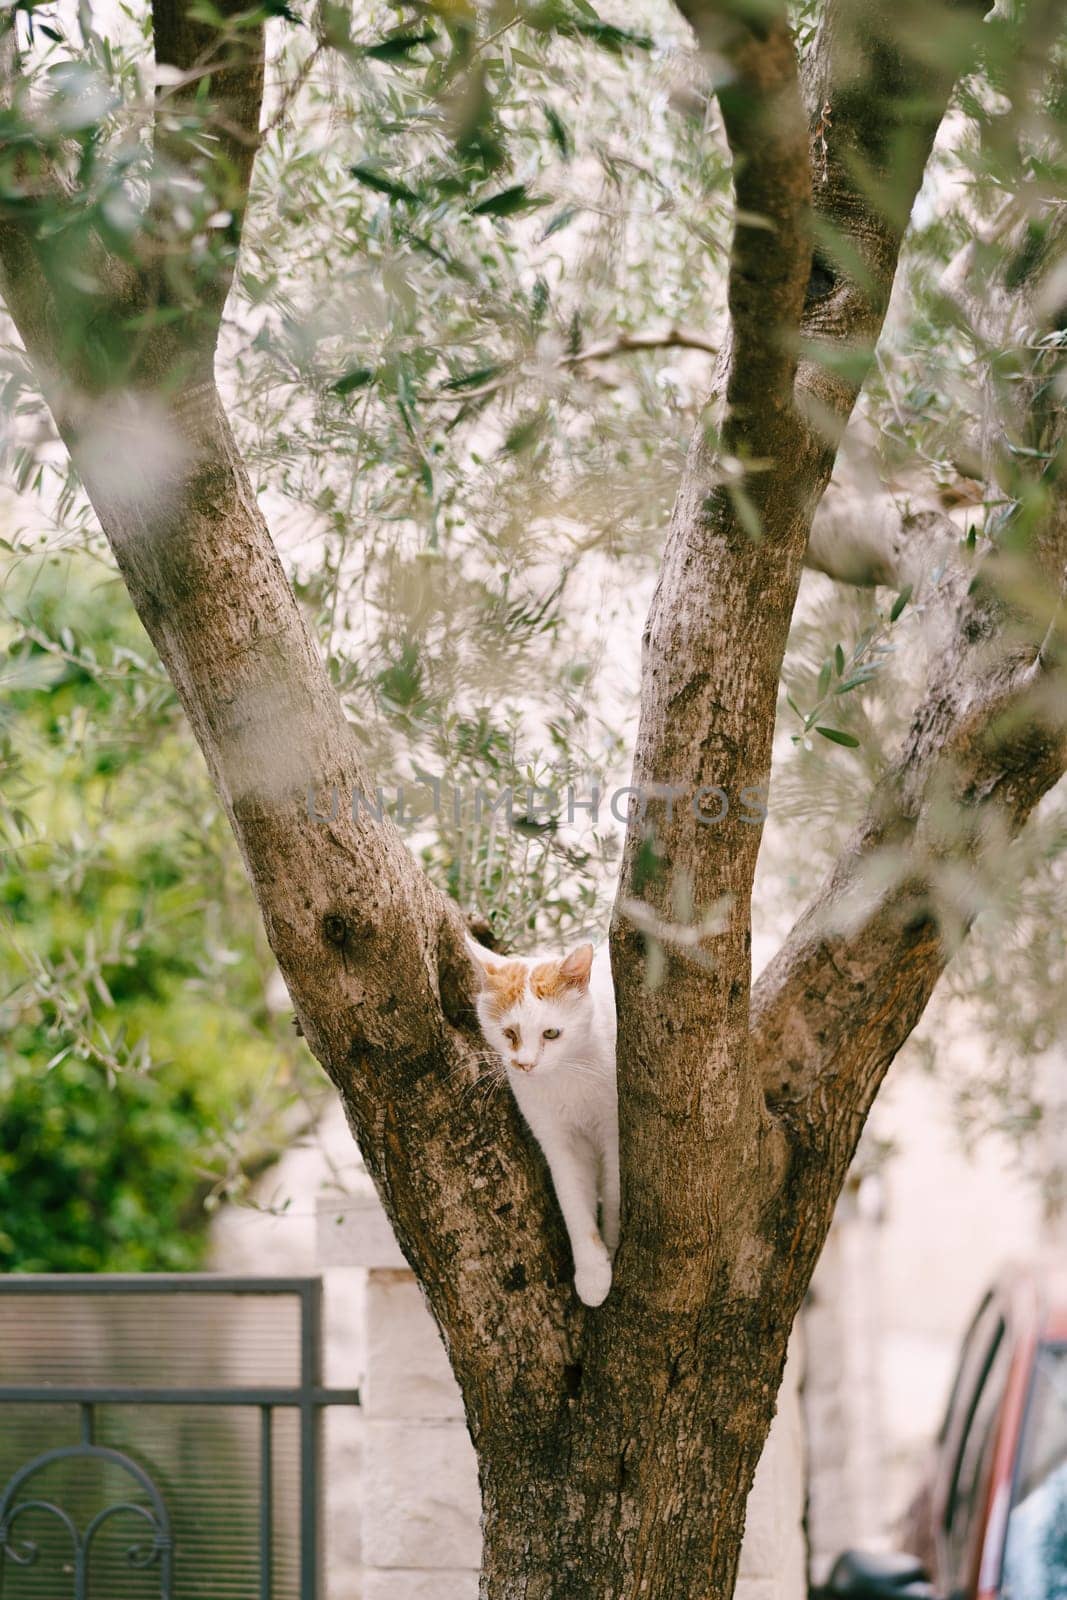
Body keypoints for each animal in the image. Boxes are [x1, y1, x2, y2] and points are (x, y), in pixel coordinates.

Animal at [470, 940, 620, 1305]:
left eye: (551, 1033)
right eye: (509, 1033)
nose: (525, 1064)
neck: (565, 1075)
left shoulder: (613, 1131)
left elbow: (613, 1195)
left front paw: (613, 1246)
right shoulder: (558, 1141)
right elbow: (573, 1202)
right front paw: (593, 1272)